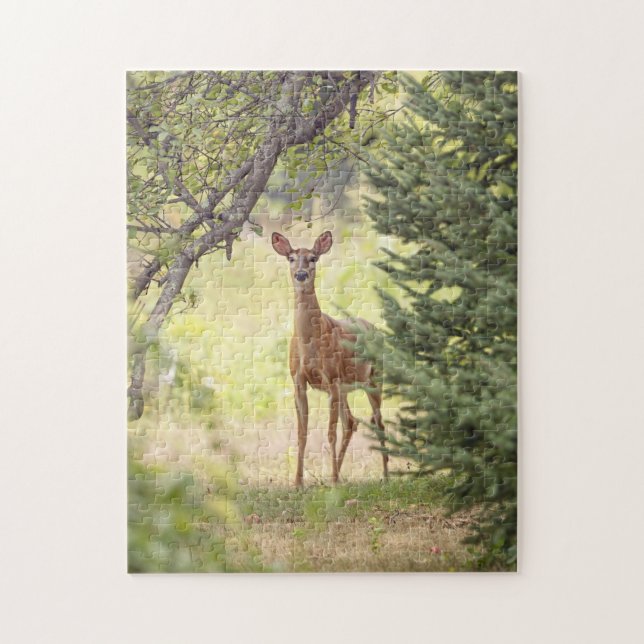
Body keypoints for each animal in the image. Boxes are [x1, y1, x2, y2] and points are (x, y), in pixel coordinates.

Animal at [271, 230, 389, 487]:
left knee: (378, 423)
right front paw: (298, 482)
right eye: (291, 258)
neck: (311, 342)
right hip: (346, 389)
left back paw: (385, 475)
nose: (301, 274)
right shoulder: (298, 380)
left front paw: (331, 480)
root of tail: (375, 329)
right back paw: (340, 475)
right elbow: (302, 433)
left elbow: (330, 432)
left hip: (374, 379)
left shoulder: (332, 378)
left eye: (313, 258)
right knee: (352, 422)